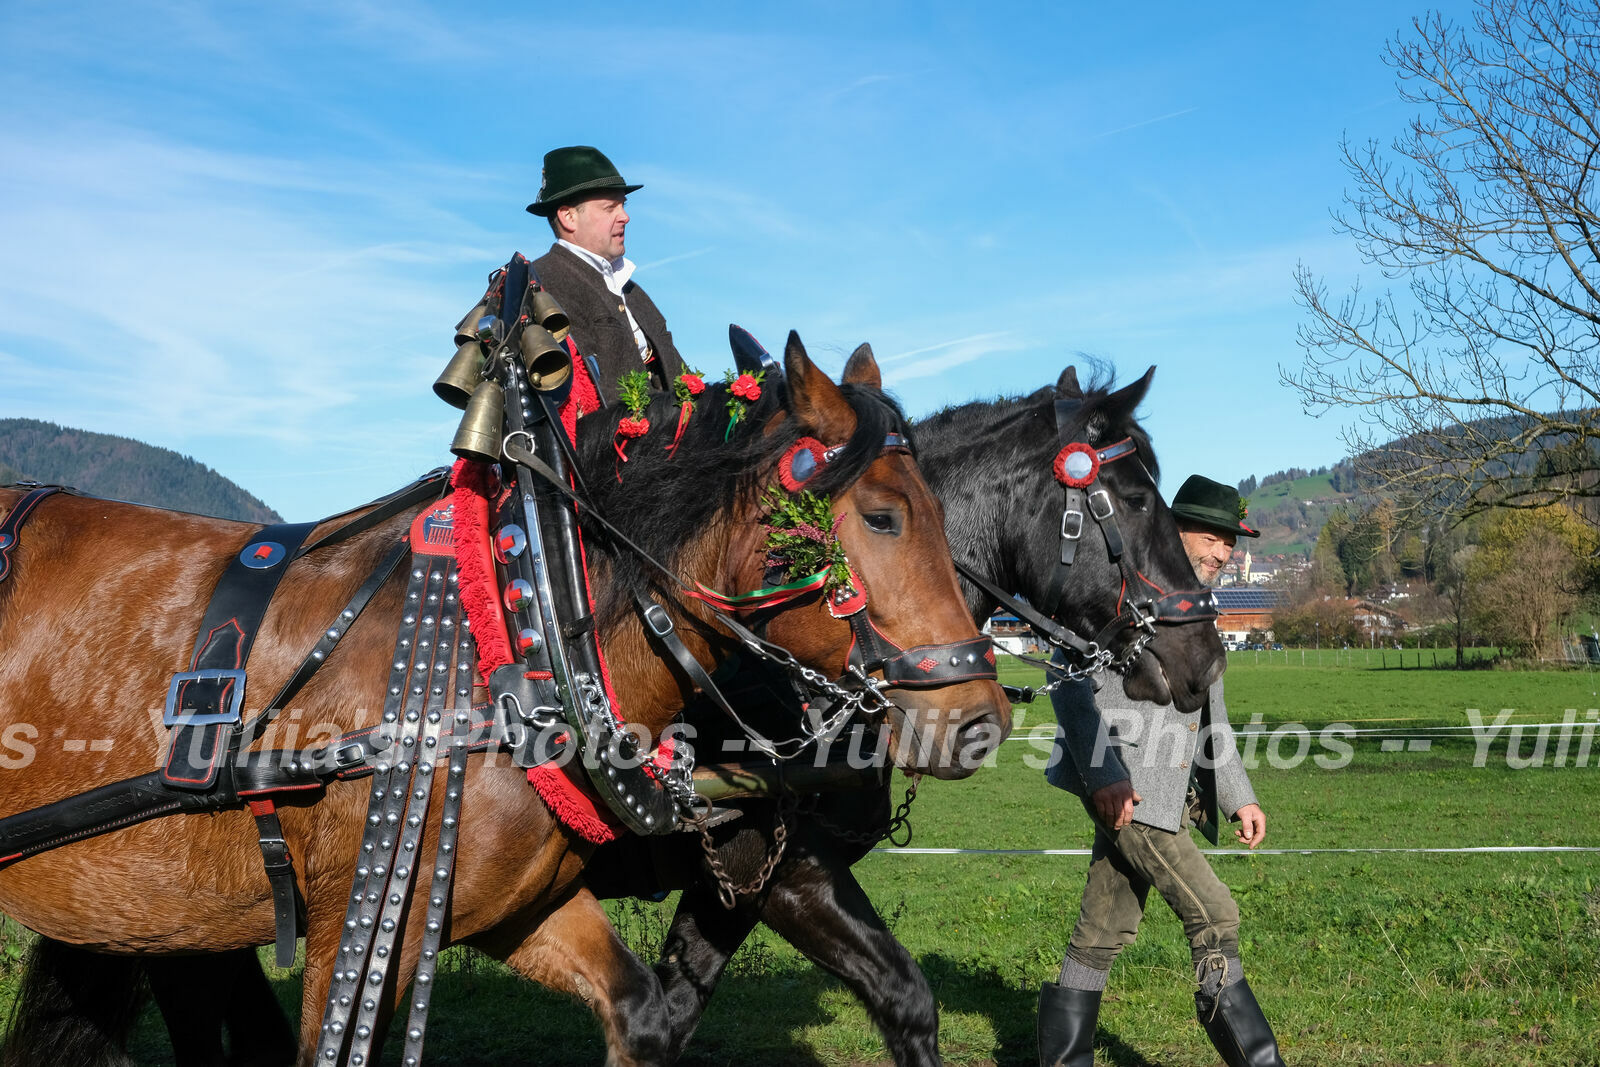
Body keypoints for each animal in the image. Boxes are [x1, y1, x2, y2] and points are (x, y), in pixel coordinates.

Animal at [6, 355, 1216, 1062]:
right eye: (1130, 493)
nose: (1199, 650)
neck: (528, 638)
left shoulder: (588, 888)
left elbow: (713, 1009)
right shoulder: (765, 861)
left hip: (169, 900)